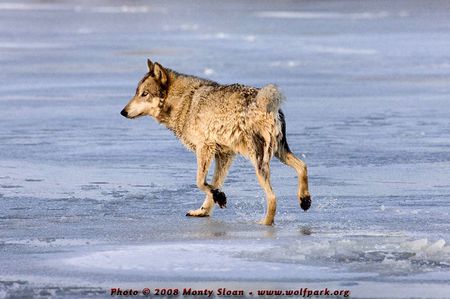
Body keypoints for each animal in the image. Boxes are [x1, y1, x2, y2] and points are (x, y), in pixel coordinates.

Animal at [119, 59, 312, 225]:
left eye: (144, 94)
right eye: (136, 93)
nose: (122, 112)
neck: (184, 102)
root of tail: (265, 101)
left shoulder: (205, 148)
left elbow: (199, 181)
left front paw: (219, 197)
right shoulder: (224, 155)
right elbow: (213, 184)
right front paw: (205, 209)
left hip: (259, 161)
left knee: (273, 198)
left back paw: (264, 224)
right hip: (279, 152)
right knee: (303, 166)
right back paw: (305, 200)